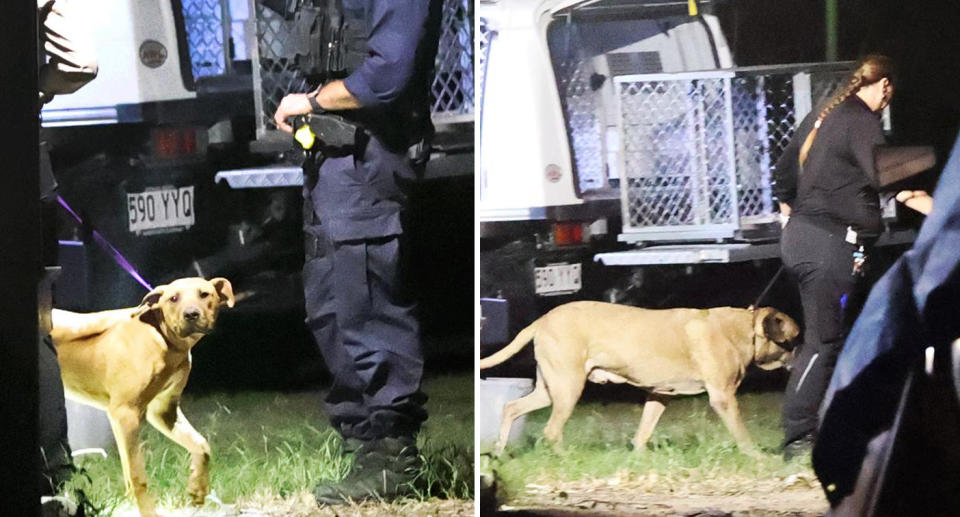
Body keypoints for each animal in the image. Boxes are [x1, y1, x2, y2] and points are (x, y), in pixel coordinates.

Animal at [50, 278, 234, 516]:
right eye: (173, 298)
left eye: (204, 294)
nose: (191, 314)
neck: (162, 339)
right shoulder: (125, 415)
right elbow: (137, 477)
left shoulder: (164, 411)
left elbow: (201, 445)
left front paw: (197, 489)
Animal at [476, 300, 800, 454]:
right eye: (793, 340)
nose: (800, 356)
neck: (743, 329)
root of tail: (542, 319)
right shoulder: (723, 398)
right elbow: (743, 435)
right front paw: (757, 457)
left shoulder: (659, 395)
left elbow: (643, 432)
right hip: (568, 389)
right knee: (551, 430)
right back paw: (564, 457)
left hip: (549, 389)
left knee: (511, 408)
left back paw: (499, 450)